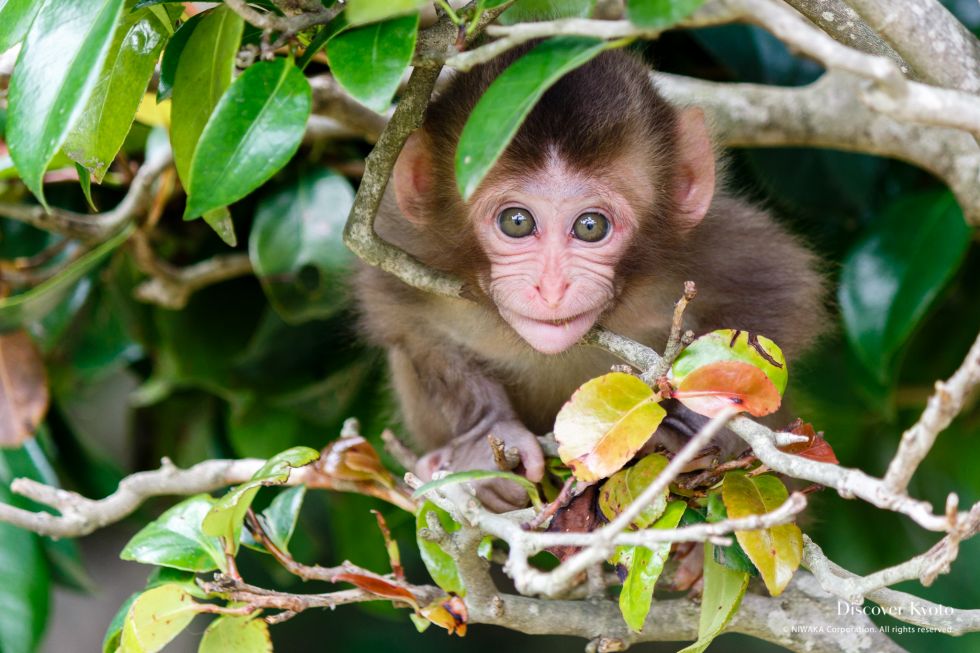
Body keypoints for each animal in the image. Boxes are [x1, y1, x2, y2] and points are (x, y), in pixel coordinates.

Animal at [356, 48, 824, 512]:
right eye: (516, 222)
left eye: (590, 227)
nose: (552, 288)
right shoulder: (411, 255)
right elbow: (405, 324)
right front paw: (483, 437)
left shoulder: (707, 251)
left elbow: (777, 301)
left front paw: (690, 433)